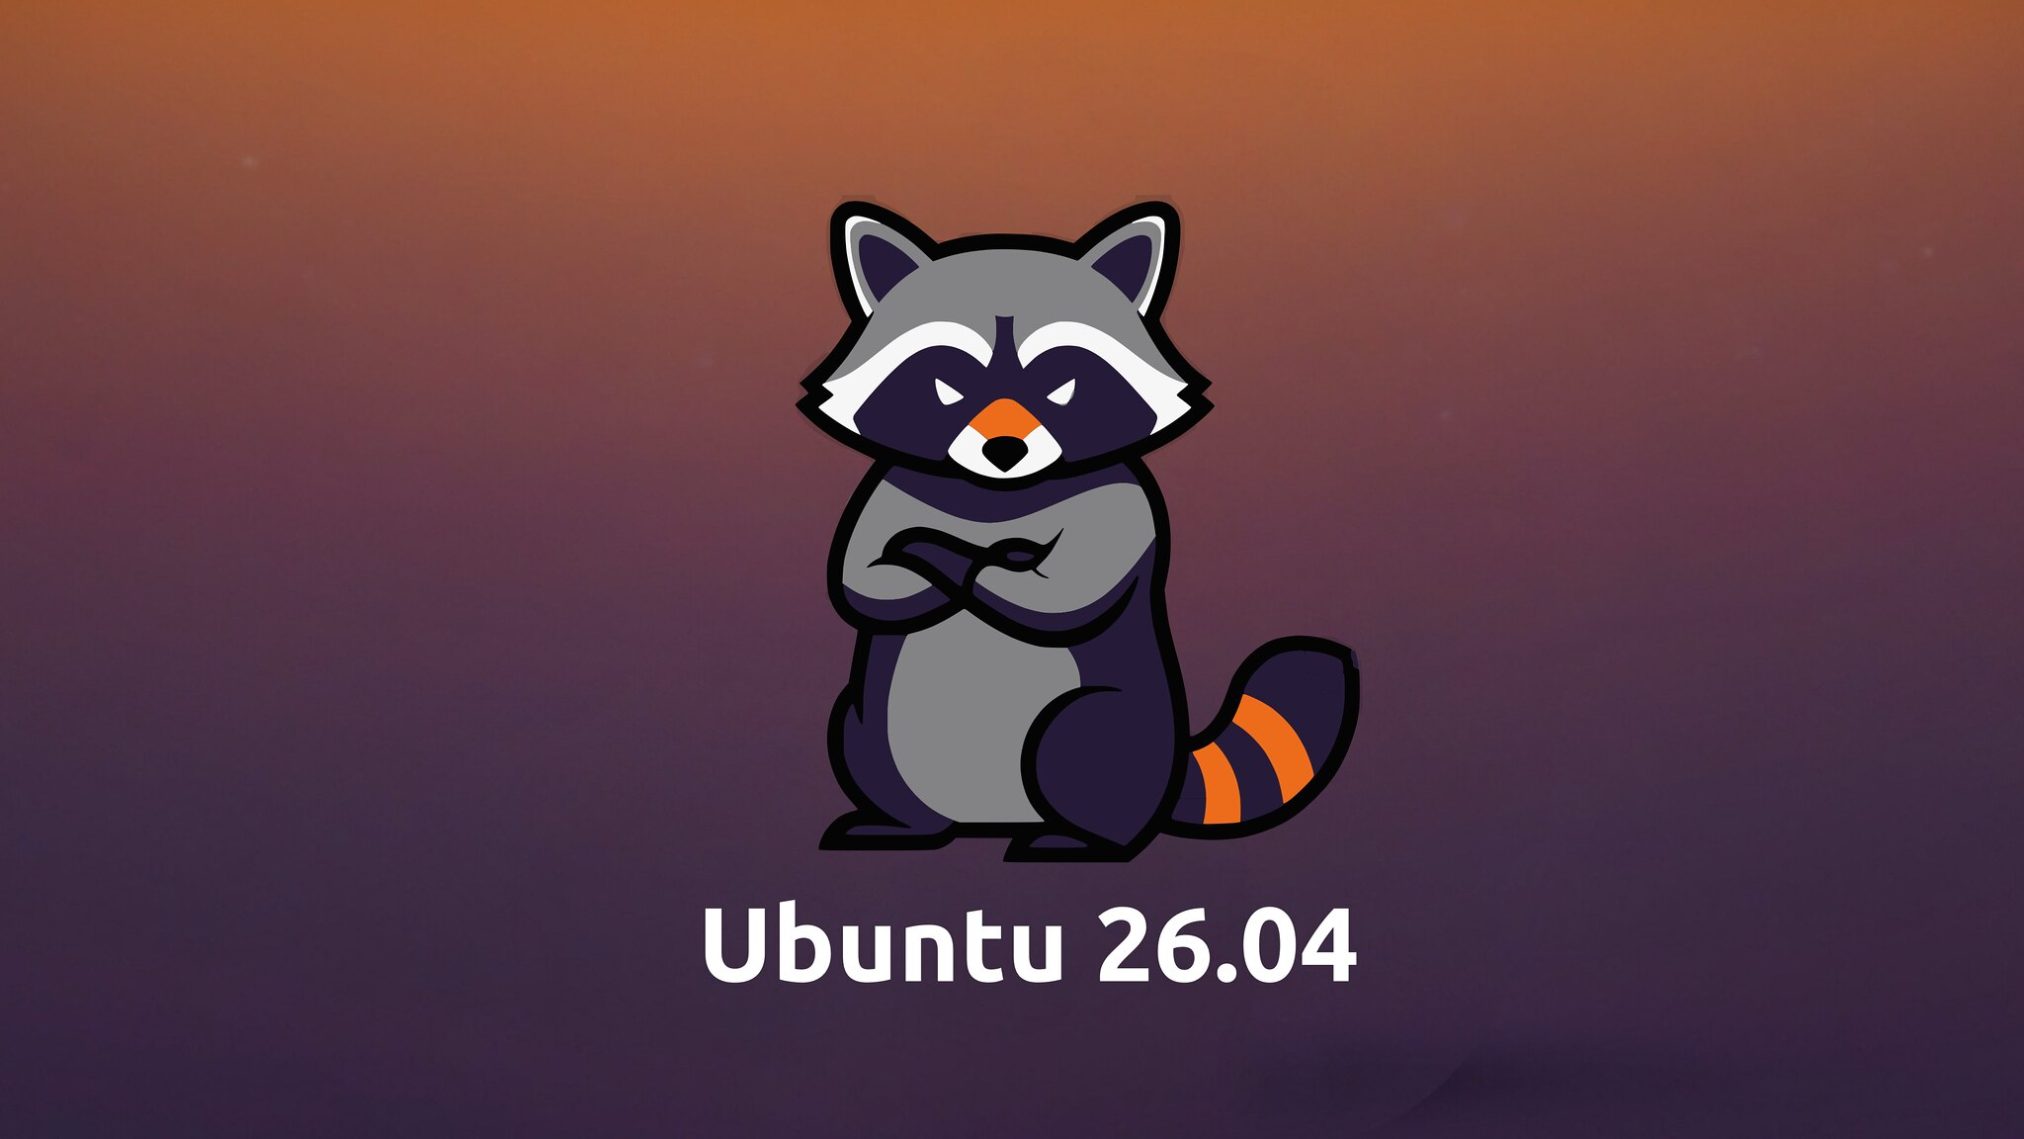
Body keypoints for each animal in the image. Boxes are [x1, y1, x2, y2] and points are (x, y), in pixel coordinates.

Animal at [801, 202, 1359, 861]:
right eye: (947, 385)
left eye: (1061, 386)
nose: (1005, 450)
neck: (995, 491)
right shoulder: (887, 488)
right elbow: (865, 582)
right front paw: (934, 559)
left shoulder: (1124, 503)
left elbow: (1063, 598)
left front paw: (965, 557)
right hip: (868, 727)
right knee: (861, 738)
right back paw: (904, 825)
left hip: (1107, 731)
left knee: (1080, 742)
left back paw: (1083, 837)